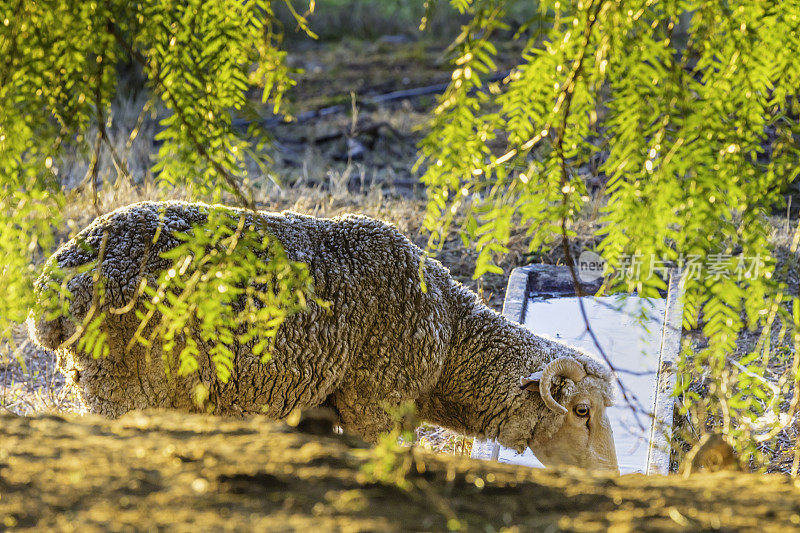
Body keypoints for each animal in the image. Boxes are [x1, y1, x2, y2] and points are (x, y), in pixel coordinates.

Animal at [29, 201, 620, 470]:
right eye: (582, 411)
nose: (611, 475)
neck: (451, 340)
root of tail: (57, 281)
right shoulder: (373, 408)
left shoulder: (312, 405)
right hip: (122, 392)